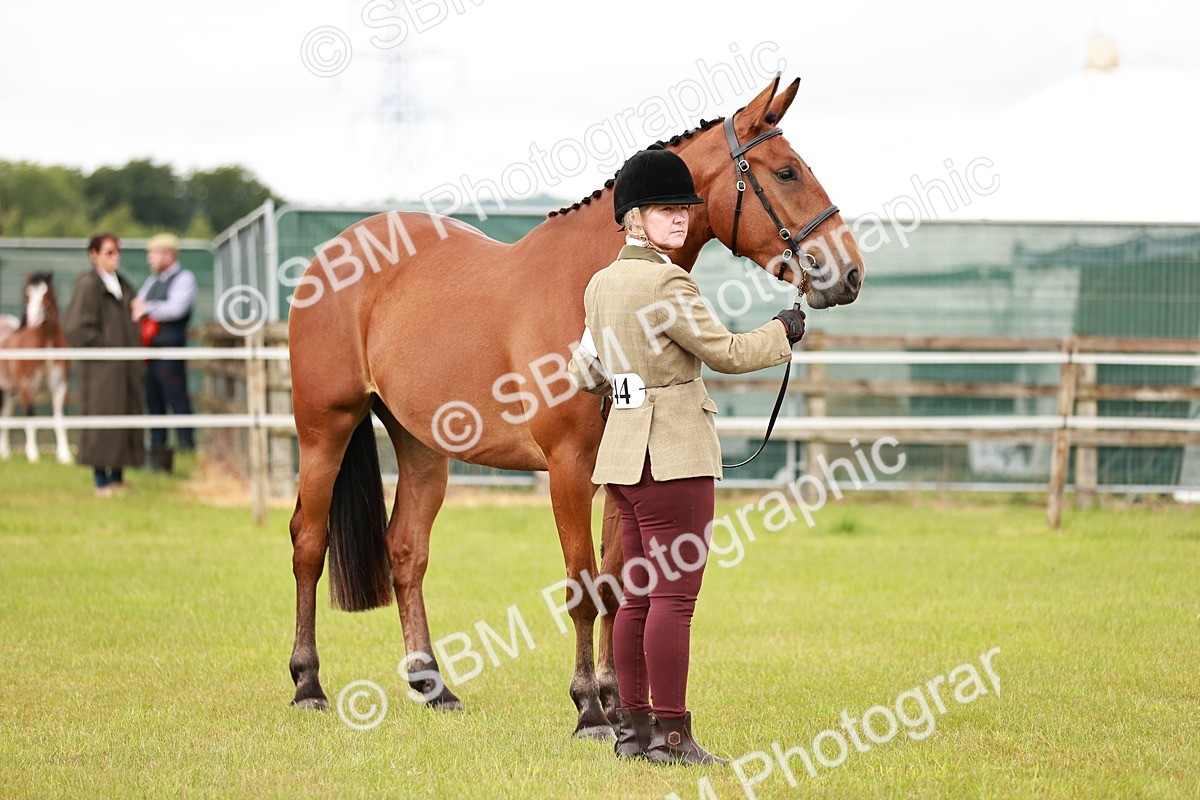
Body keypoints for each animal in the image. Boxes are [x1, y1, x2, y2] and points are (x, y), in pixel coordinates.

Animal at [0, 272, 71, 464]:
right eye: (27, 294)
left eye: (47, 294)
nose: (33, 320)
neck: (46, 343)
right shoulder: (27, 386)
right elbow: (31, 417)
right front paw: (32, 454)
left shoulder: (59, 386)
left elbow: (60, 421)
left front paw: (64, 456)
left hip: (10, 392)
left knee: (5, 416)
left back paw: (5, 453)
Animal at [286, 75, 866, 738]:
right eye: (788, 172)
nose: (849, 272)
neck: (598, 283)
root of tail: (330, 256)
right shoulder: (567, 467)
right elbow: (584, 586)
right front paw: (589, 708)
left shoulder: (620, 469)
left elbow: (617, 584)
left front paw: (617, 703)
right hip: (324, 429)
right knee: (308, 543)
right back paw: (308, 683)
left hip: (421, 444)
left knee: (406, 551)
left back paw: (432, 685)